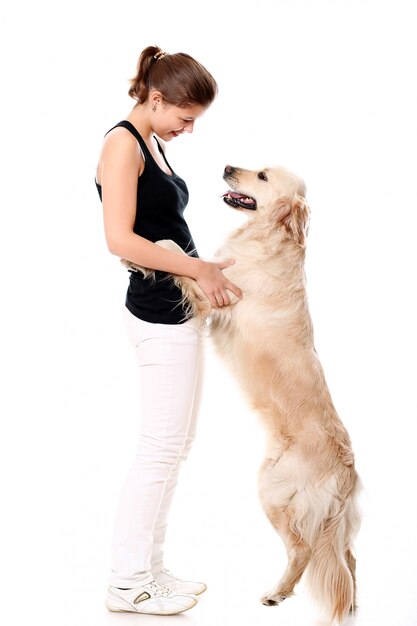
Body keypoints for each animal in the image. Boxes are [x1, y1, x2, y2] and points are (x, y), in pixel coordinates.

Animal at [121, 165, 360, 620]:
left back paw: (276, 593)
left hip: (273, 490)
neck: (269, 238)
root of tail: (346, 471)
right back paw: (354, 603)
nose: (228, 167)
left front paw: (138, 253)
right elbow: (187, 257)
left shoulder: (215, 291)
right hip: (340, 523)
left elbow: (179, 257)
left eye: (262, 176)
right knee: (350, 558)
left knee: (303, 551)